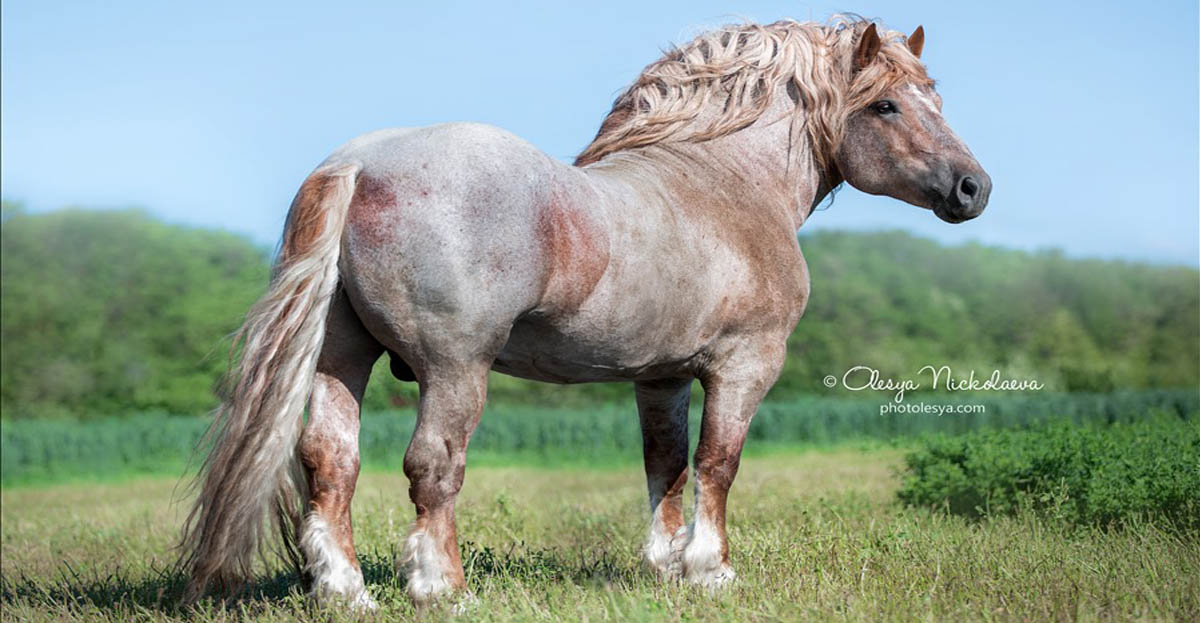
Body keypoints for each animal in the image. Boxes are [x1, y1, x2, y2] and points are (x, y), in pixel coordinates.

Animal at [177, 17, 993, 612]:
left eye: (938, 101)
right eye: (885, 104)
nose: (973, 187)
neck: (725, 182)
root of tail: (357, 162)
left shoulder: (661, 376)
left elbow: (665, 463)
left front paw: (663, 567)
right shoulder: (745, 365)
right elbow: (718, 463)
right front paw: (711, 570)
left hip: (341, 359)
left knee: (330, 463)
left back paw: (347, 593)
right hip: (455, 368)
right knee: (433, 467)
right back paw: (444, 588)